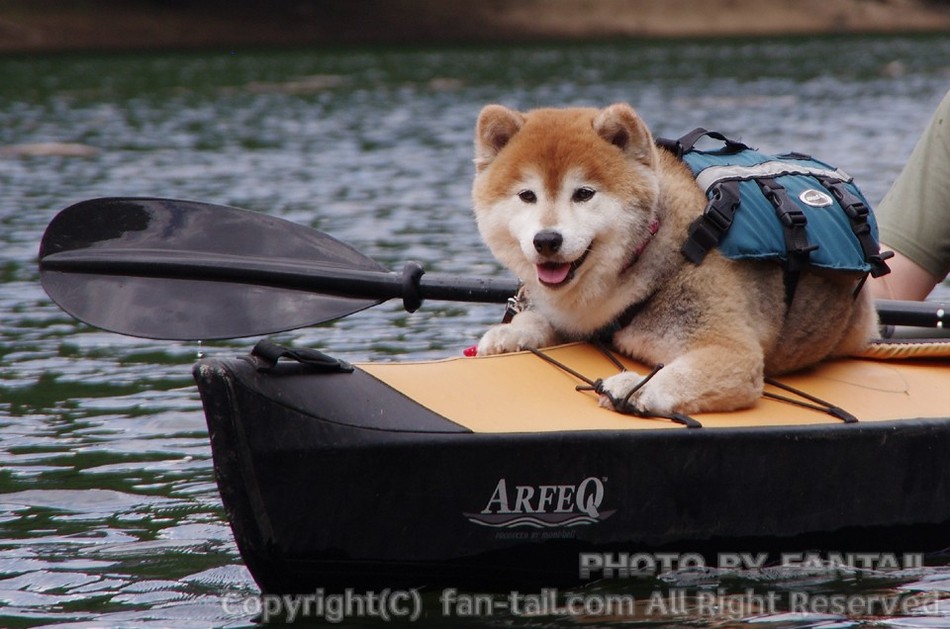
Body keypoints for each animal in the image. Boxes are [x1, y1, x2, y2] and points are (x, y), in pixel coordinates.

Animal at [472, 103, 880, 414]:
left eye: (584, 193)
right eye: (527, 196)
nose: (546, 240)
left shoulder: (731, 349)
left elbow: (677, 374)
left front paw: (633, 386)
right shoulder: (577, 318)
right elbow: (538, 320)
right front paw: (507, 334)